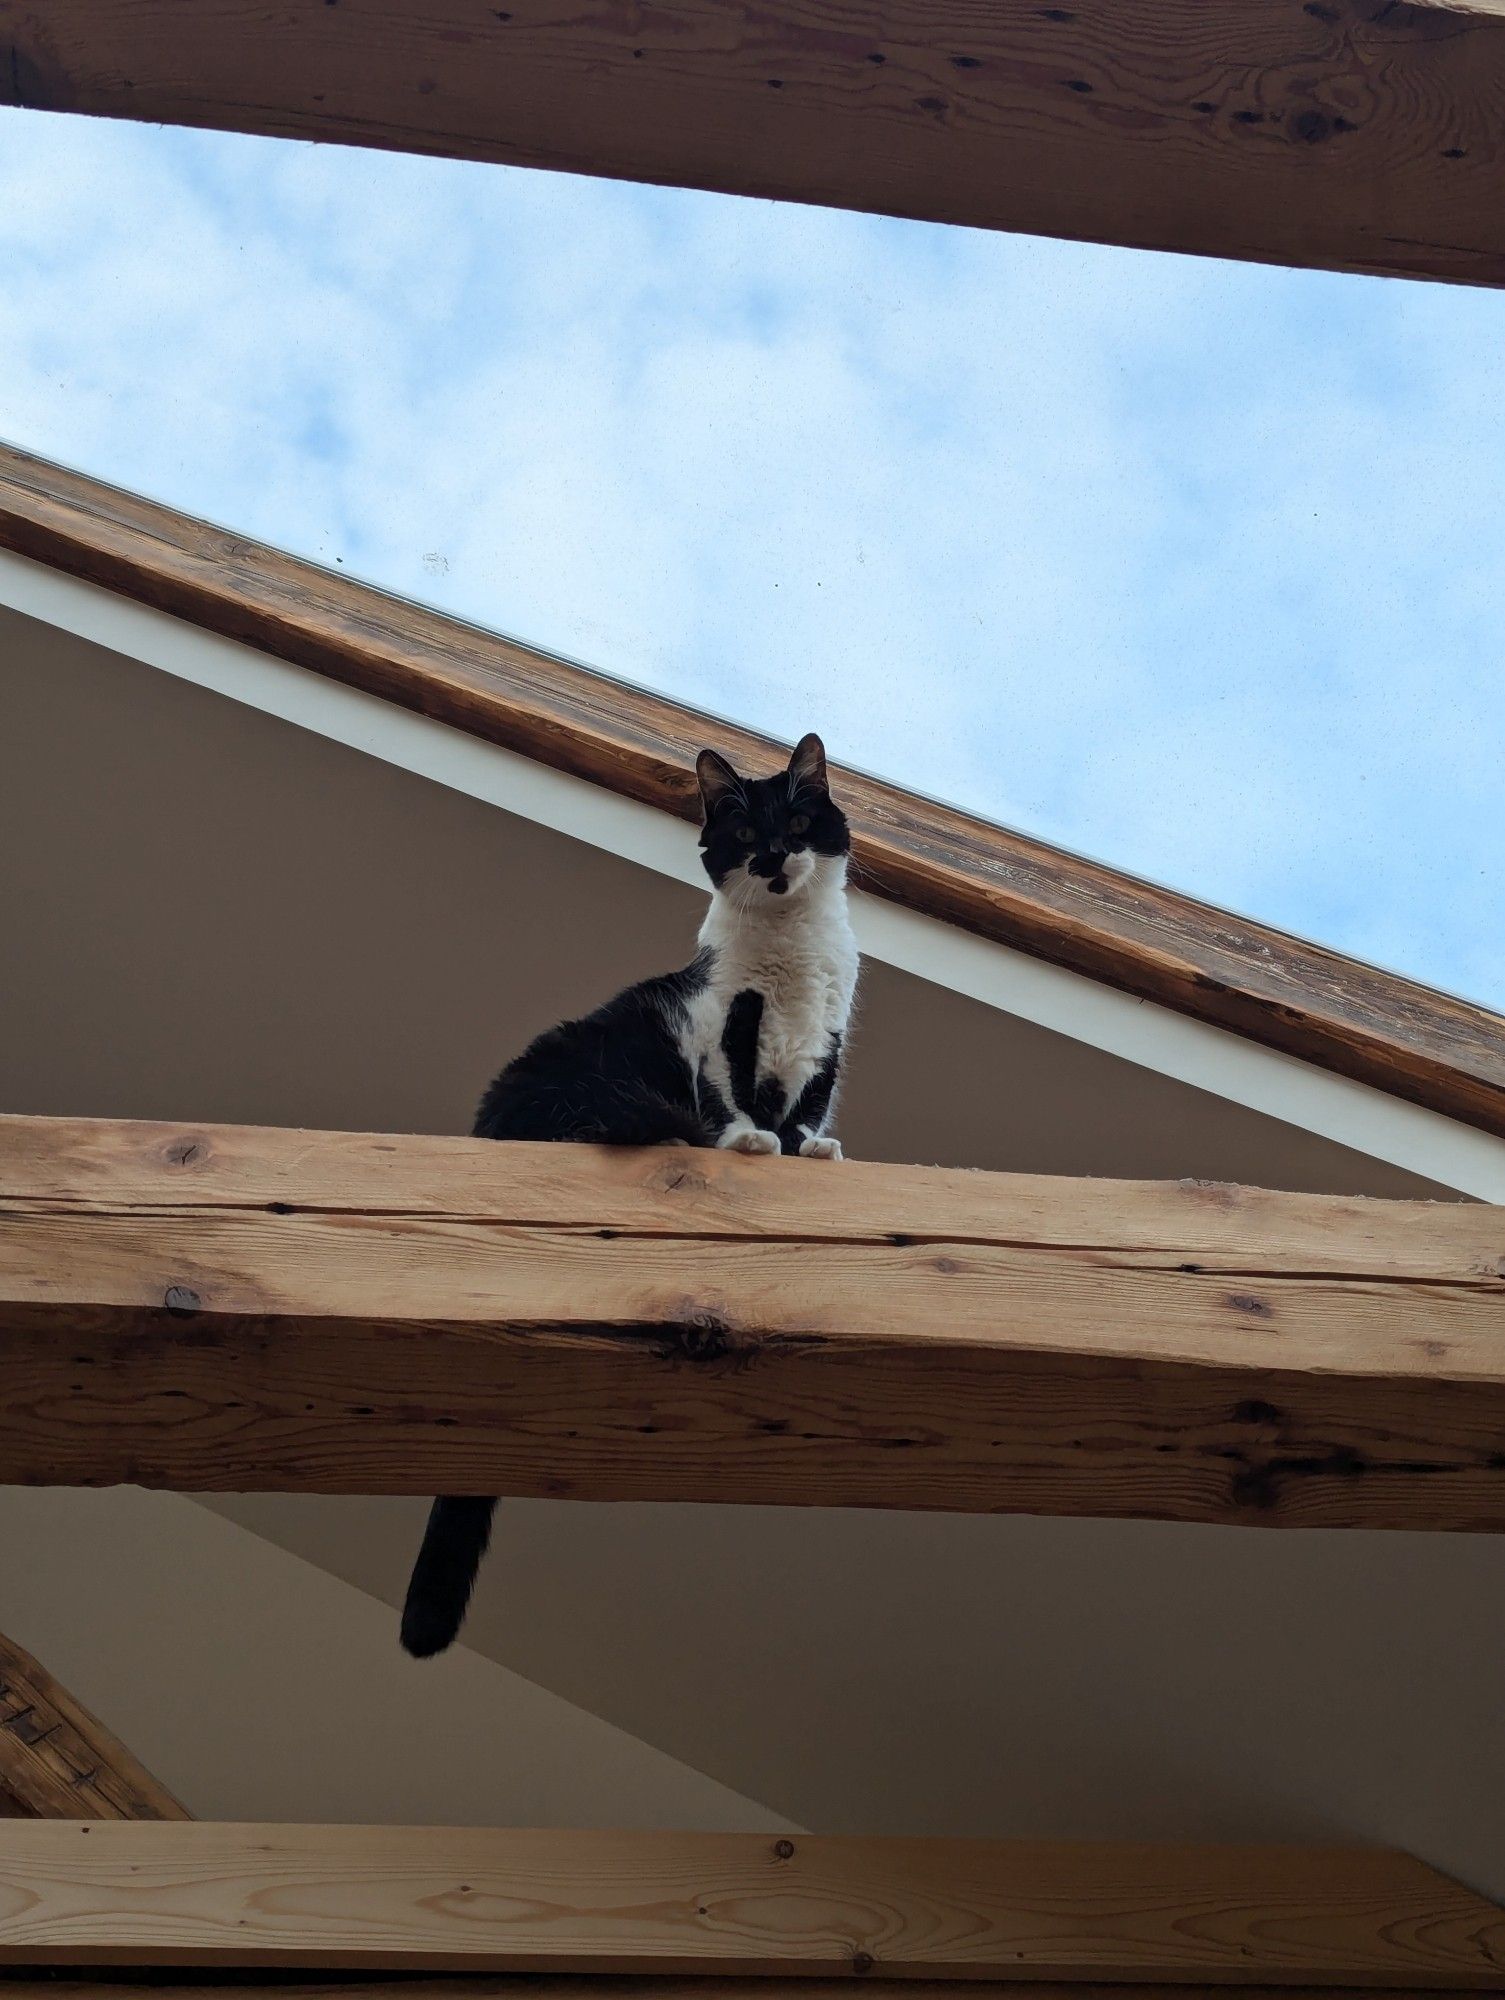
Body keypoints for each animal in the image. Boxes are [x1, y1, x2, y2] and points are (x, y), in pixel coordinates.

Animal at [400, 736, 856, 1656]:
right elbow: (732, 1091)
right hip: (587, 1077)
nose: (771, 856)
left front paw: (808, 1149)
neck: (791, 950)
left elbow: (808, 1101)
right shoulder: (719, 1020)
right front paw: (749, 1141)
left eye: (796, 820)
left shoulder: (826, 1033)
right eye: (743, 830)